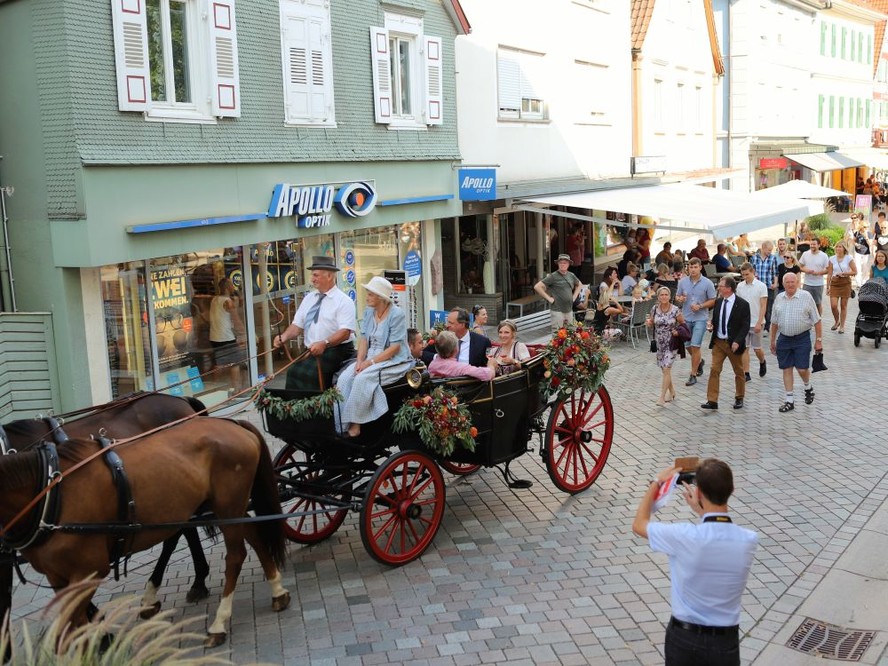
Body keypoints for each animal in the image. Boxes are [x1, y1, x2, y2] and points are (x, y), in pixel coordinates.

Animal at [0, 416, 290, 644]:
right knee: (253, 535)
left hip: (228, 505)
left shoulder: (89, 571)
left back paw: (219, 621)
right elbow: (71, 631)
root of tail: (233, 424)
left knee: (236, 556)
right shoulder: (57, 577)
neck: (50, 491)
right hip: (226, 507)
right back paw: (277, 590)